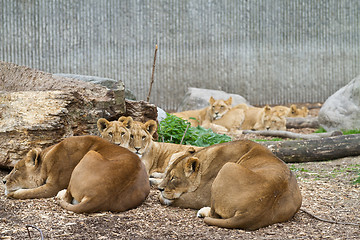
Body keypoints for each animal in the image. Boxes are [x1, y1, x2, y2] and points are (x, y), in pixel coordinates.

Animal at [159, 141, 302, 231]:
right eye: (166, 174)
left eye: (173, 178)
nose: (159, 188)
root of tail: (254, 211)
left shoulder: (202, 196)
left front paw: (162, 196)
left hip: (227, 167)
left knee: (213, 214)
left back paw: (202, 212)